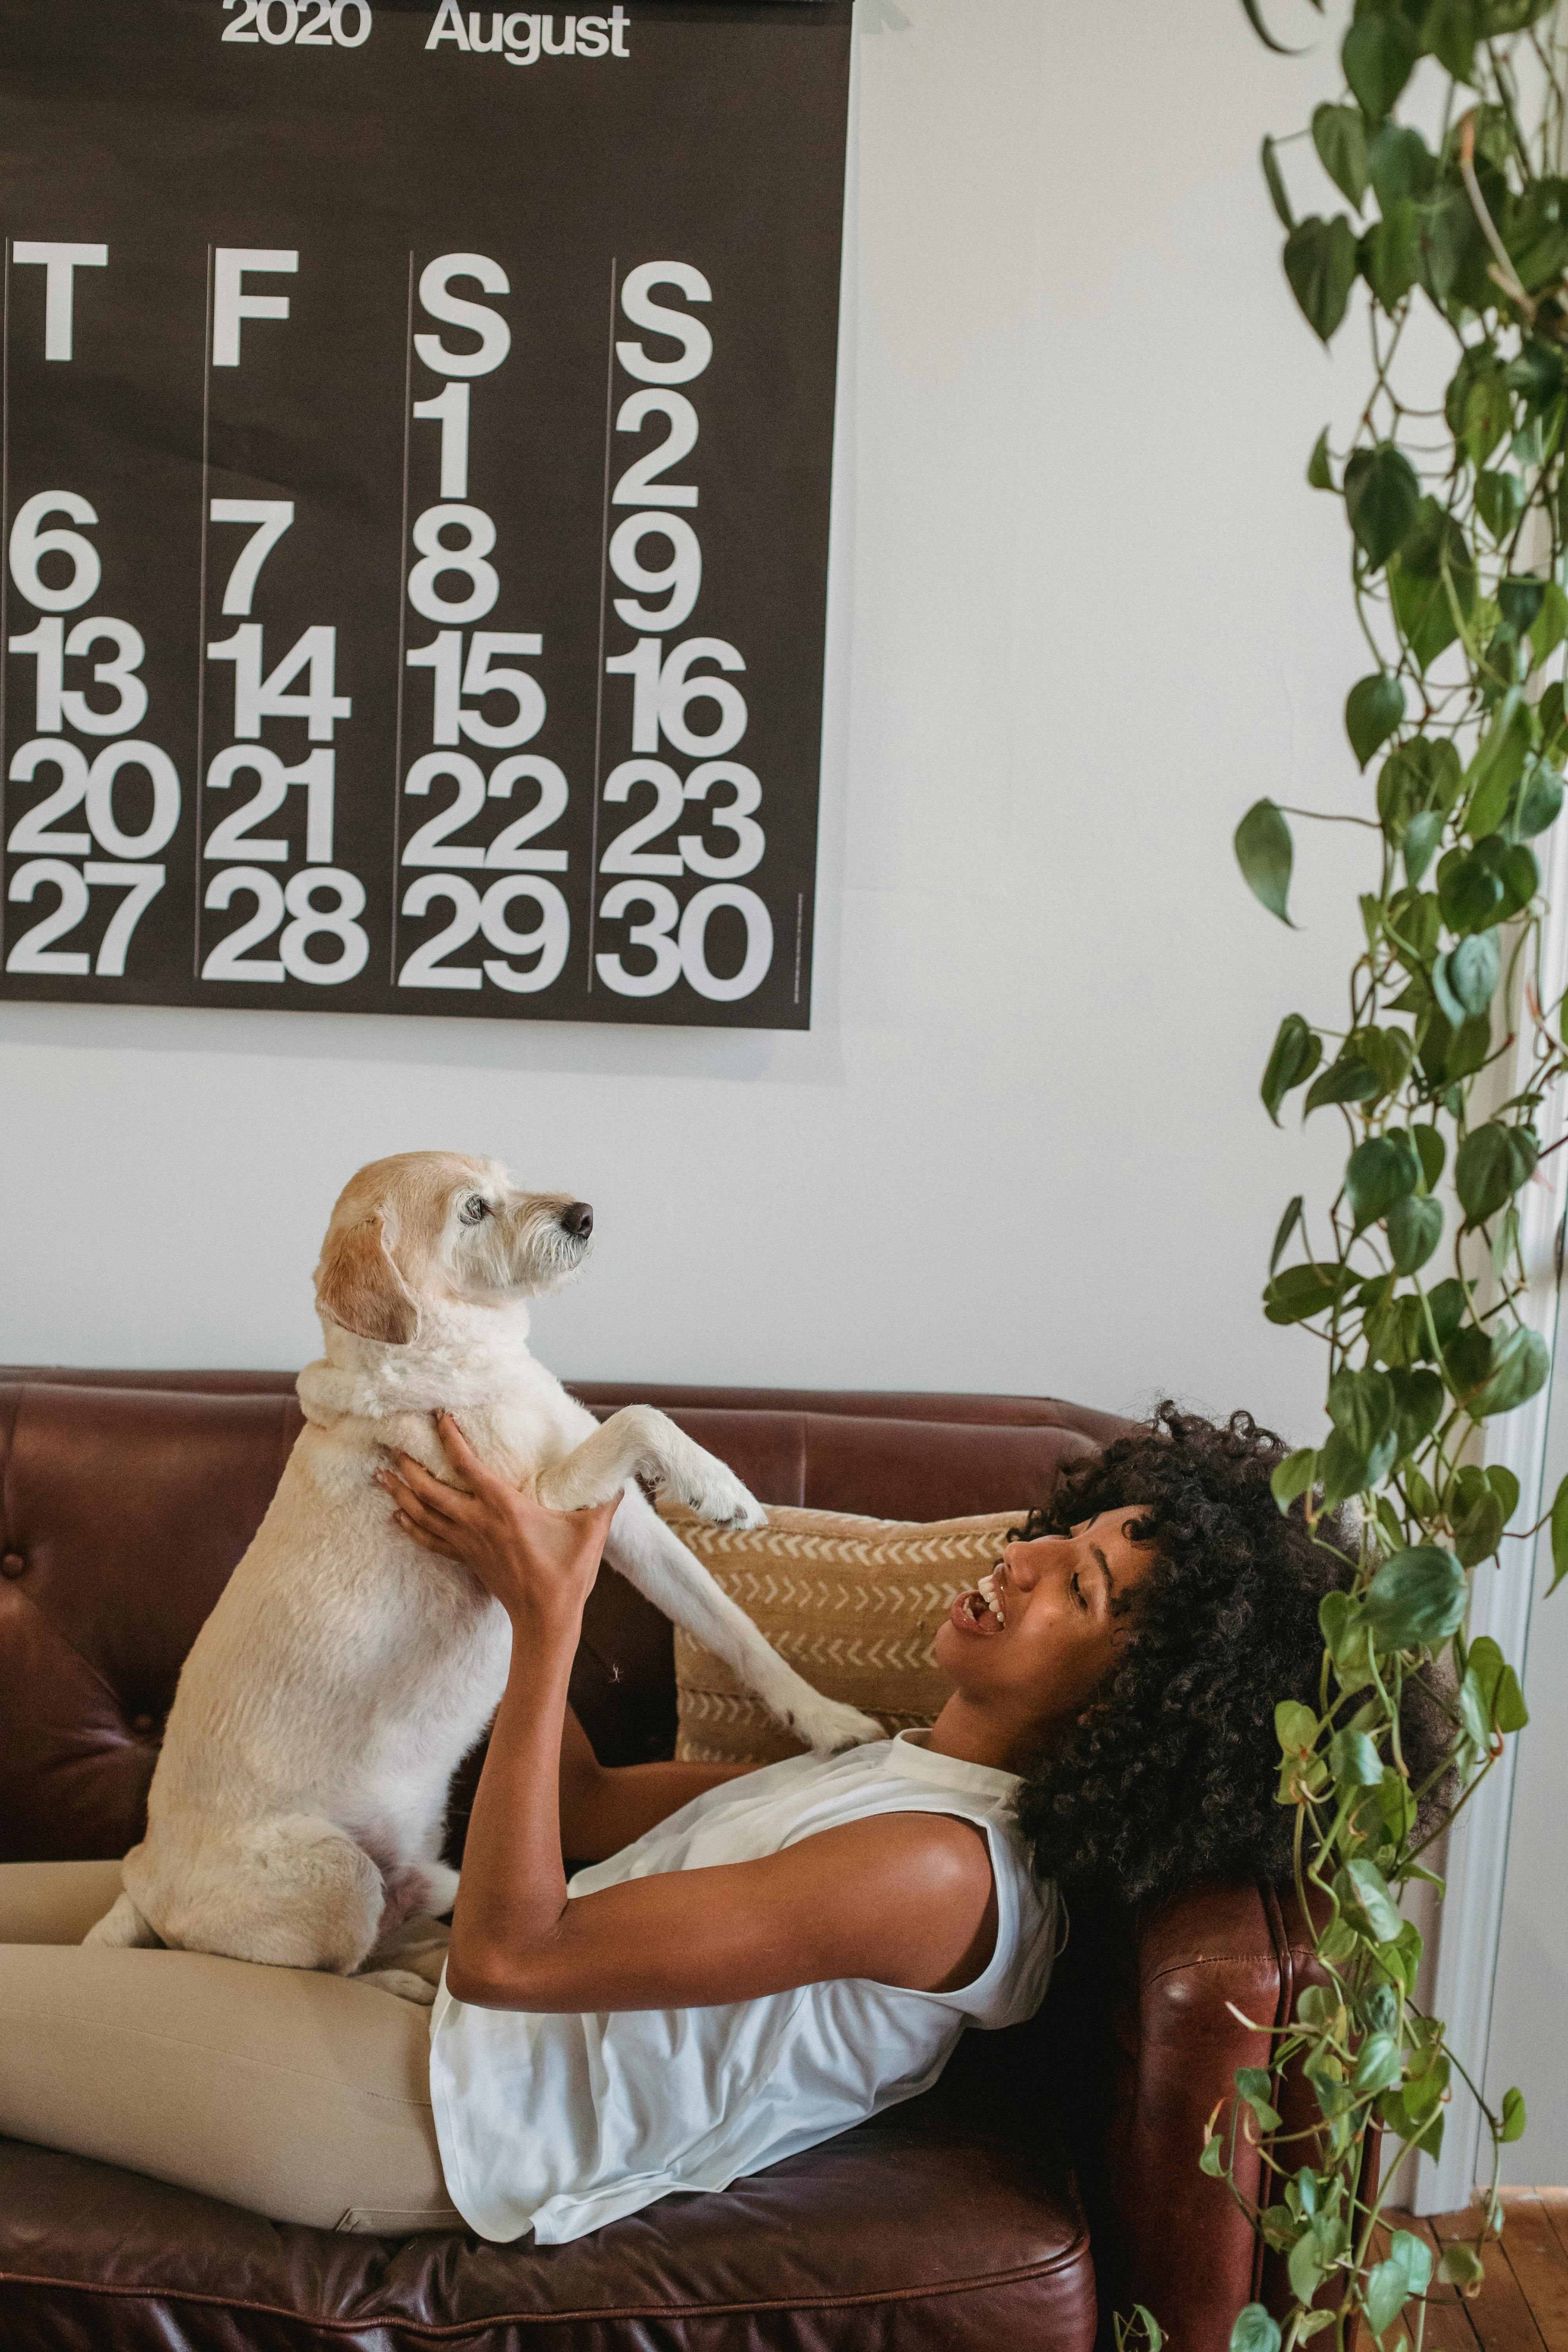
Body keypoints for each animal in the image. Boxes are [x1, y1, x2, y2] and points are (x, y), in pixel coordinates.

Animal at [85, 1148, 884, 1994]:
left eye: (507, 1178)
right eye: (473, 1209)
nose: (585, 1215)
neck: (462, 1354)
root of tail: (139, 1878)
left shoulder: (621, 1523)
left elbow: (732, 1625)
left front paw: (826, 1717)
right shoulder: (535, 1509)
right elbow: (641, 1416)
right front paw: (720, 1484)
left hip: (423, 1873)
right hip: (336, 1874)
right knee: (335, 1968)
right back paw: (400, 1983)